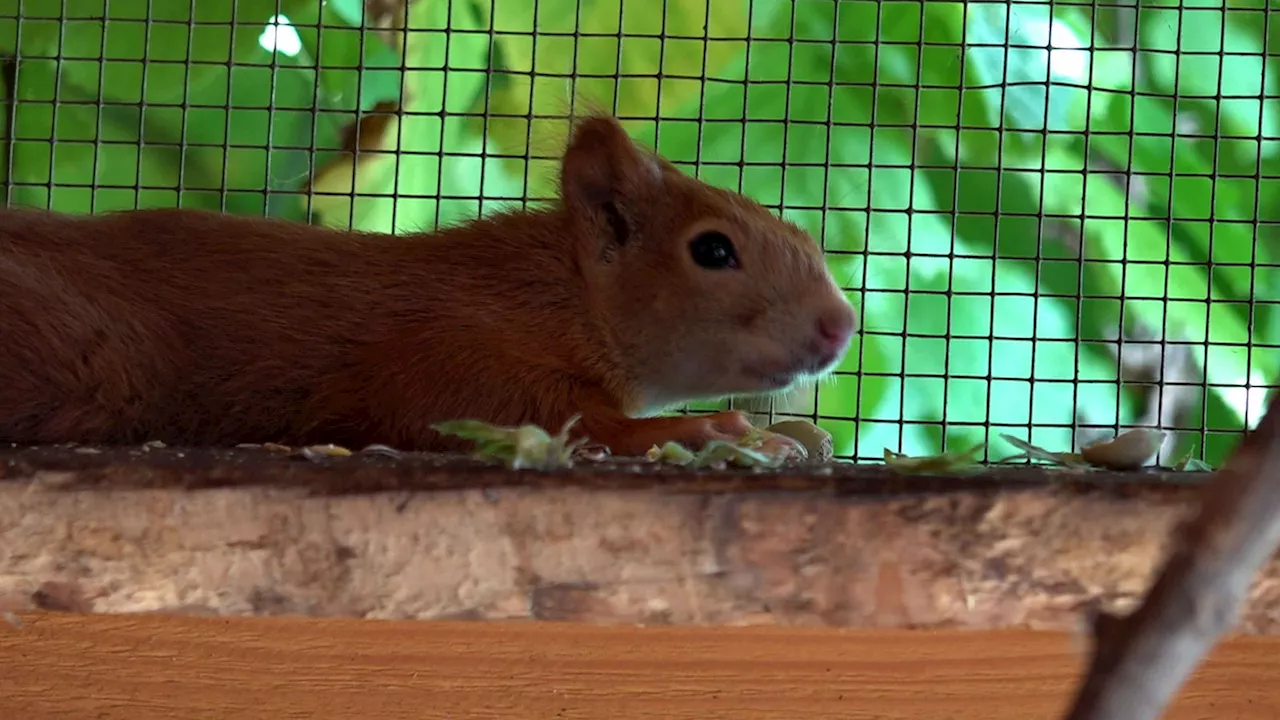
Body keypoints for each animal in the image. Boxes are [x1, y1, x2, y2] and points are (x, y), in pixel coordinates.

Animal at [2, 115, 860, 456]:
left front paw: (795, 428)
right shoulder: (455, 352)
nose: (839, 327)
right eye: (713, 250)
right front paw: (705, 431)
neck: (559, 297)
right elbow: (553, 421)